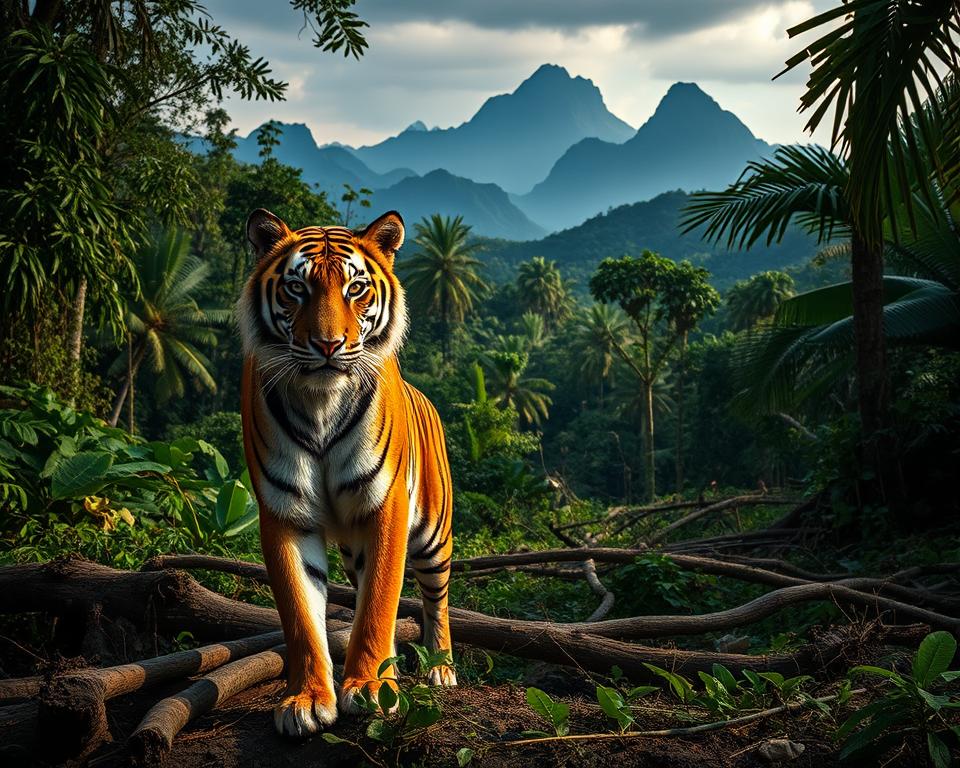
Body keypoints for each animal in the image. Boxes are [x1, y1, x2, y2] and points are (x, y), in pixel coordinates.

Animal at [238, 208, 456, 737]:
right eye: (297, 289)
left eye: (356, 288)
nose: (328, 344)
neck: (320, 402)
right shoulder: (285, 512)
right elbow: (301, 614)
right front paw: (306, 700)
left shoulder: (385, 506)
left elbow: (379, 602)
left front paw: (374, 689)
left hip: (433, 536)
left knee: (437, 600)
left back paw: (440, 668)